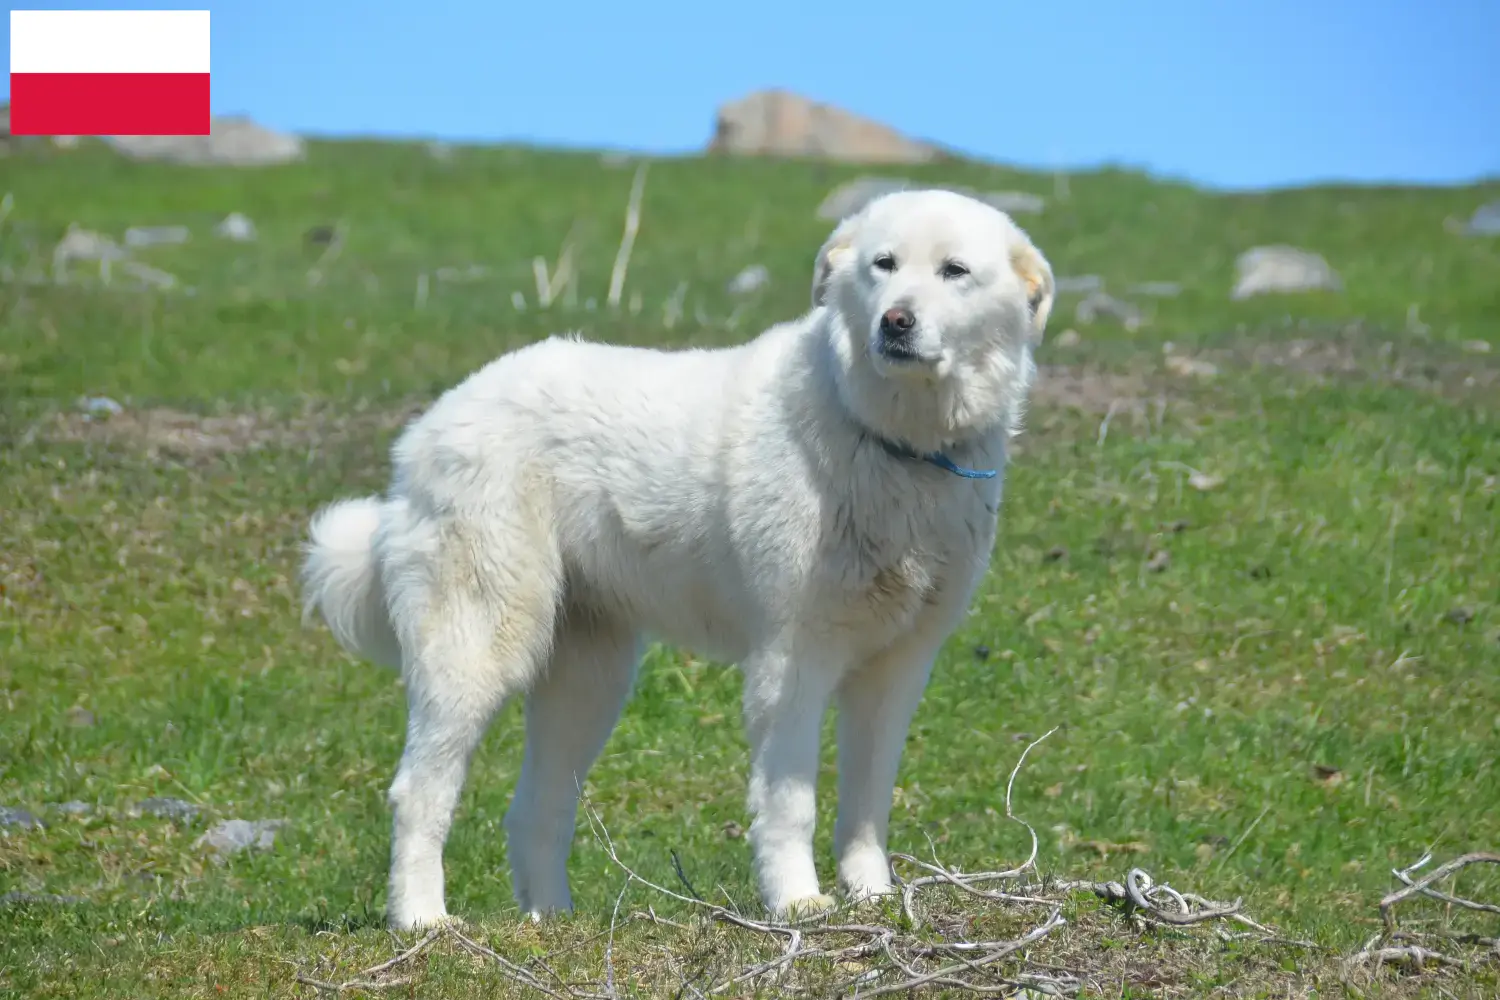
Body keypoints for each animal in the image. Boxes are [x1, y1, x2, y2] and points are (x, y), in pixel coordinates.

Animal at [301, 189, 1056, 929]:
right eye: (884, 265)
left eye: (954, 271)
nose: (895, 322)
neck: (892, 440)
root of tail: (433, 423)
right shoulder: (793, 661)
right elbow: (790, 801)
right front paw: (797, 902)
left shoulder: (896, 668)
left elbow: (867, 803)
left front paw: (872, 897)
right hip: (481, 646)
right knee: (417, 792)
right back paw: (422, 920)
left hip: (588, 680)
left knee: (535, 809)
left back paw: (554, 919)